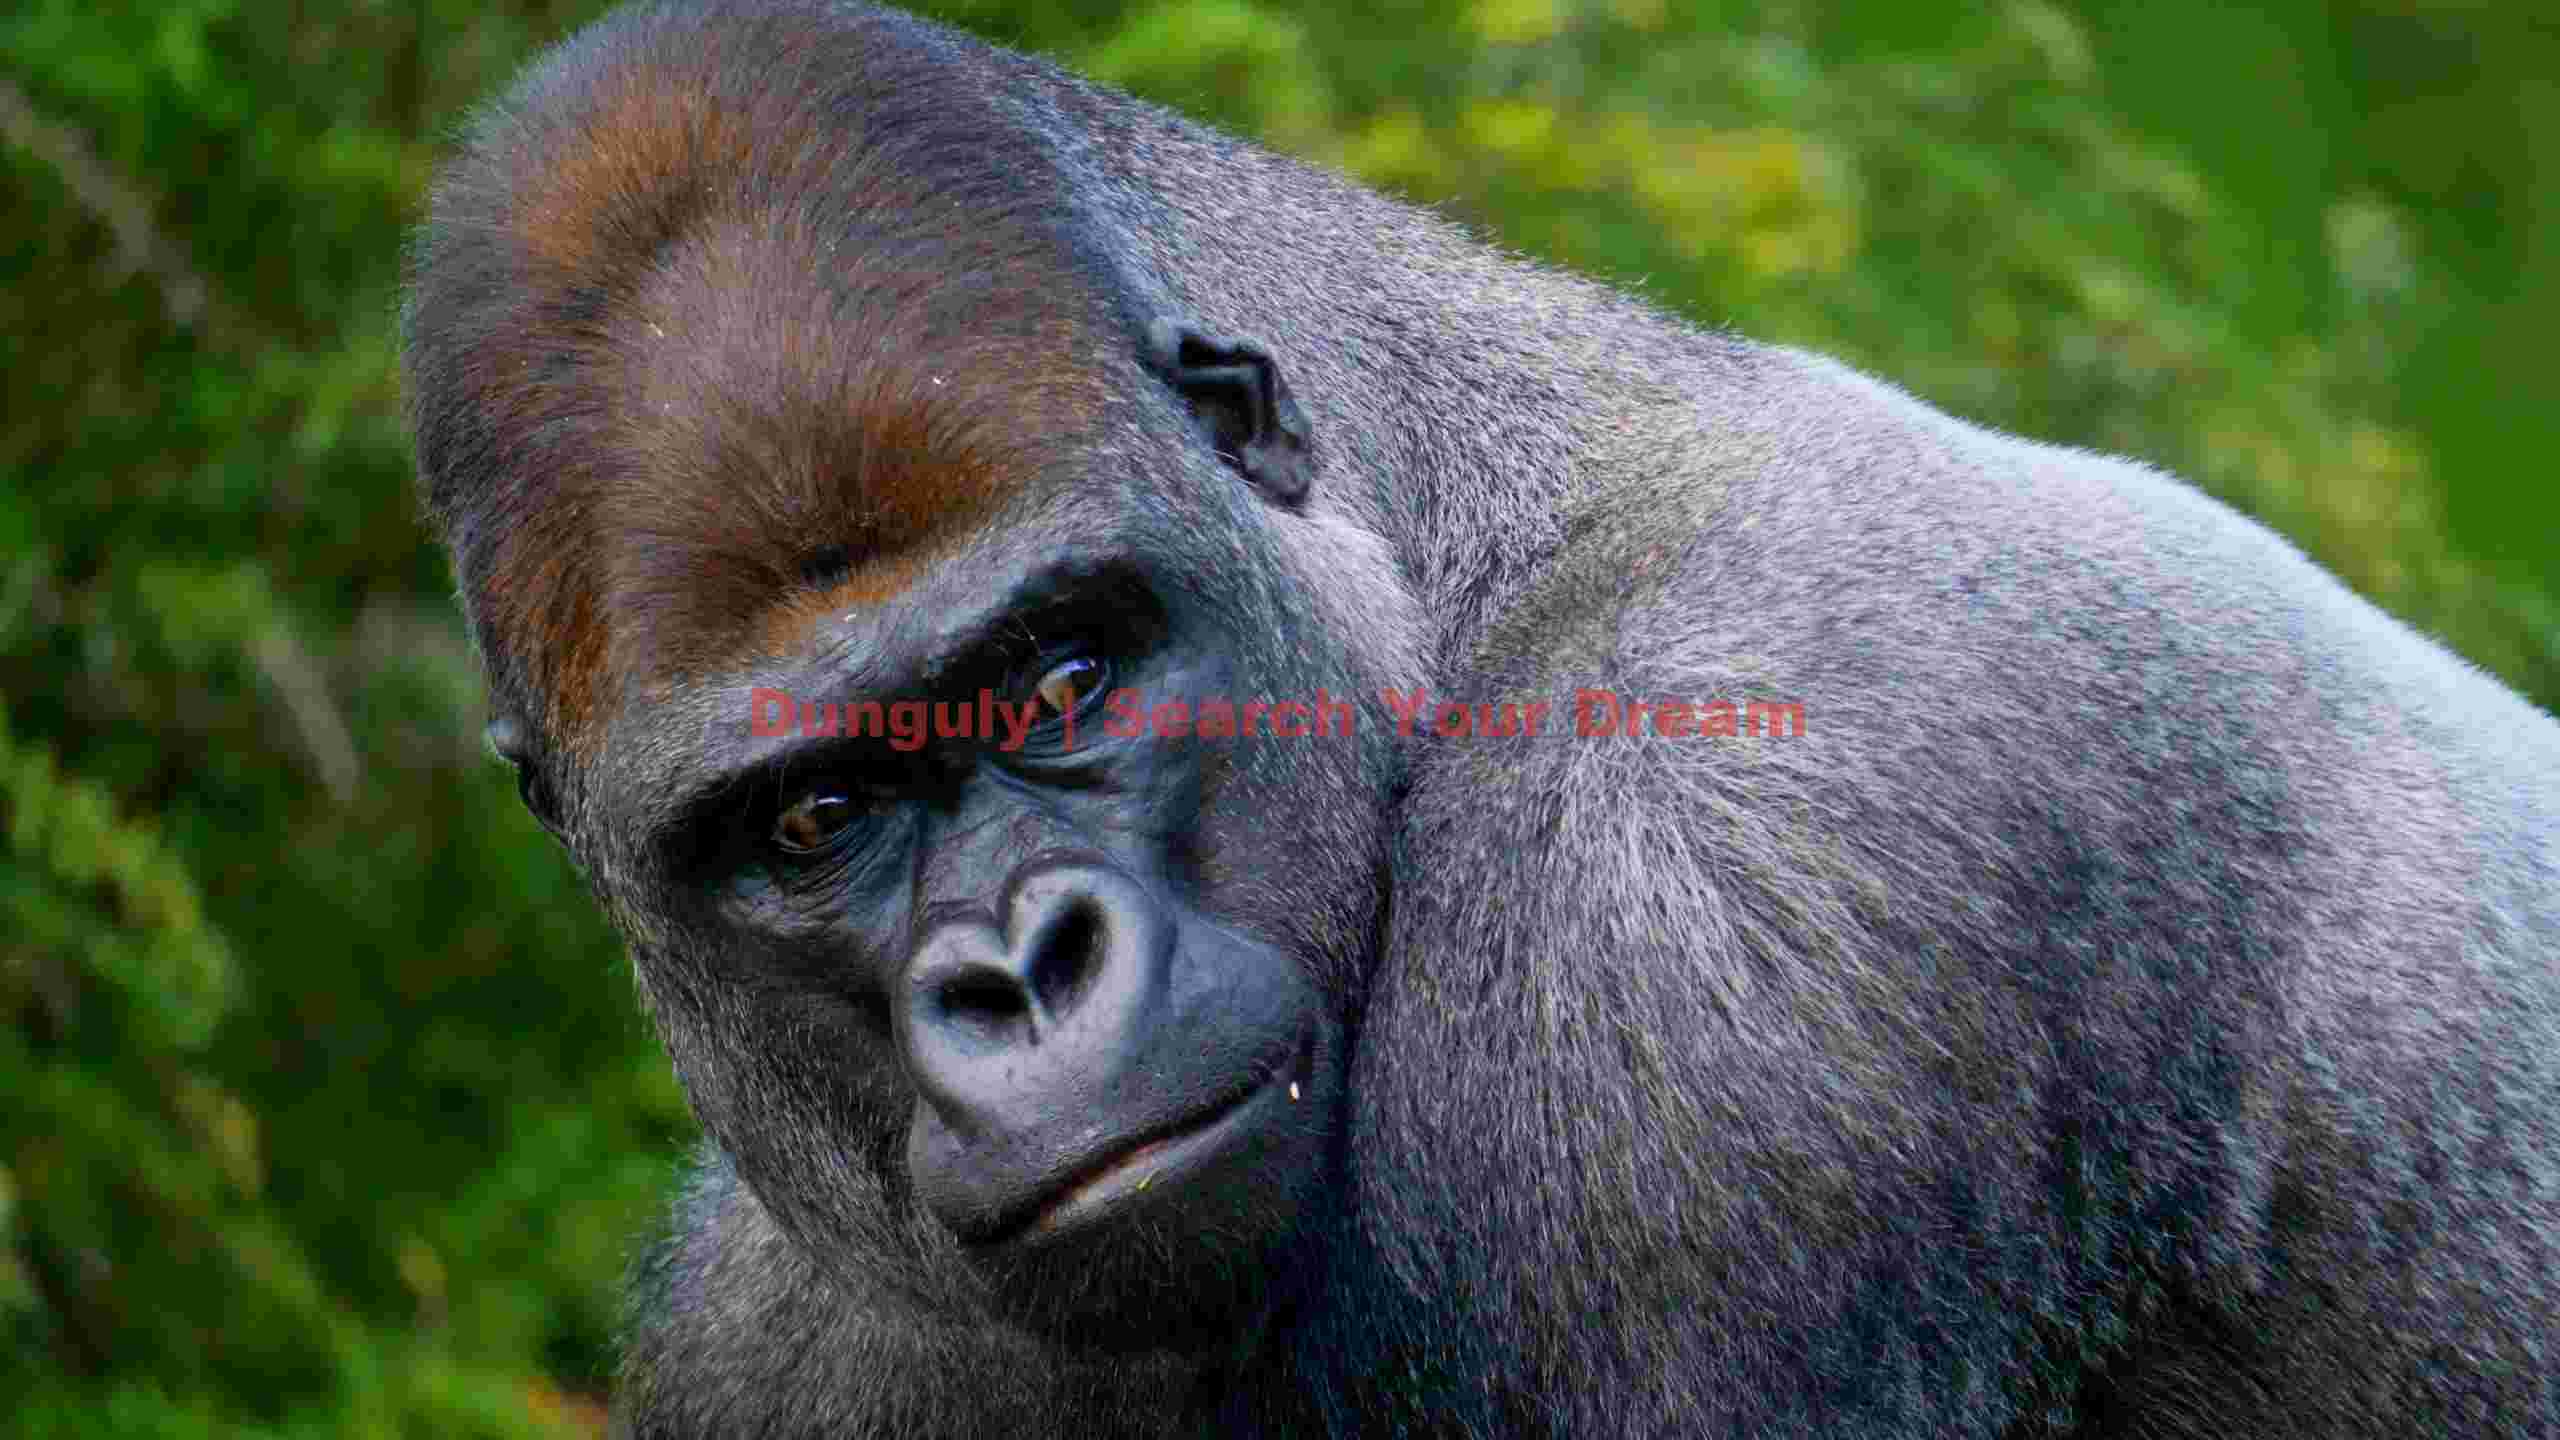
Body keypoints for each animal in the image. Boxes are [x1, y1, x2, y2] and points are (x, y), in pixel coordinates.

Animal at [402, 1, 2560, 1434]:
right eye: (812, 823)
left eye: (1069, 674)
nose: (1019, 977)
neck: (1451, 558)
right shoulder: (765, 1337)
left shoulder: (1726, 921)